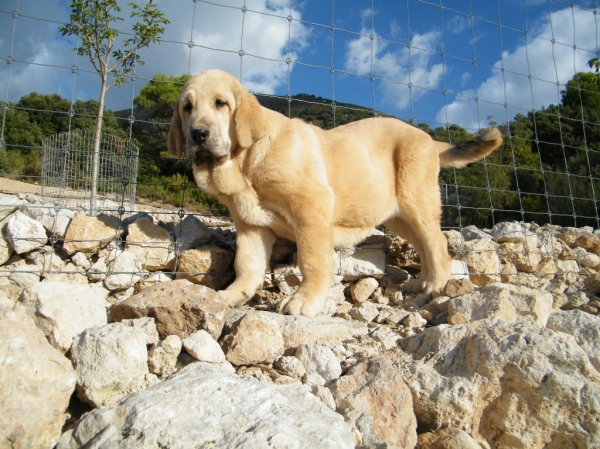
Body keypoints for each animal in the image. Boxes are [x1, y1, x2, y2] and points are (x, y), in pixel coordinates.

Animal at [168, 68, 502, 316]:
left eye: (220, 103)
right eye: (187, 108)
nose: (198, 134)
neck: (245, 162)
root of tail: (430, 140)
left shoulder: (309, 210)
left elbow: (312, 260)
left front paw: (304, 301)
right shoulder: (250, 223)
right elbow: (247, 264)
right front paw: (233, 295)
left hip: (417, 202)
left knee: (437, 244)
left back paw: (435, 286)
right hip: (399, 217)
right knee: (423, 246)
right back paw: (422, 283)